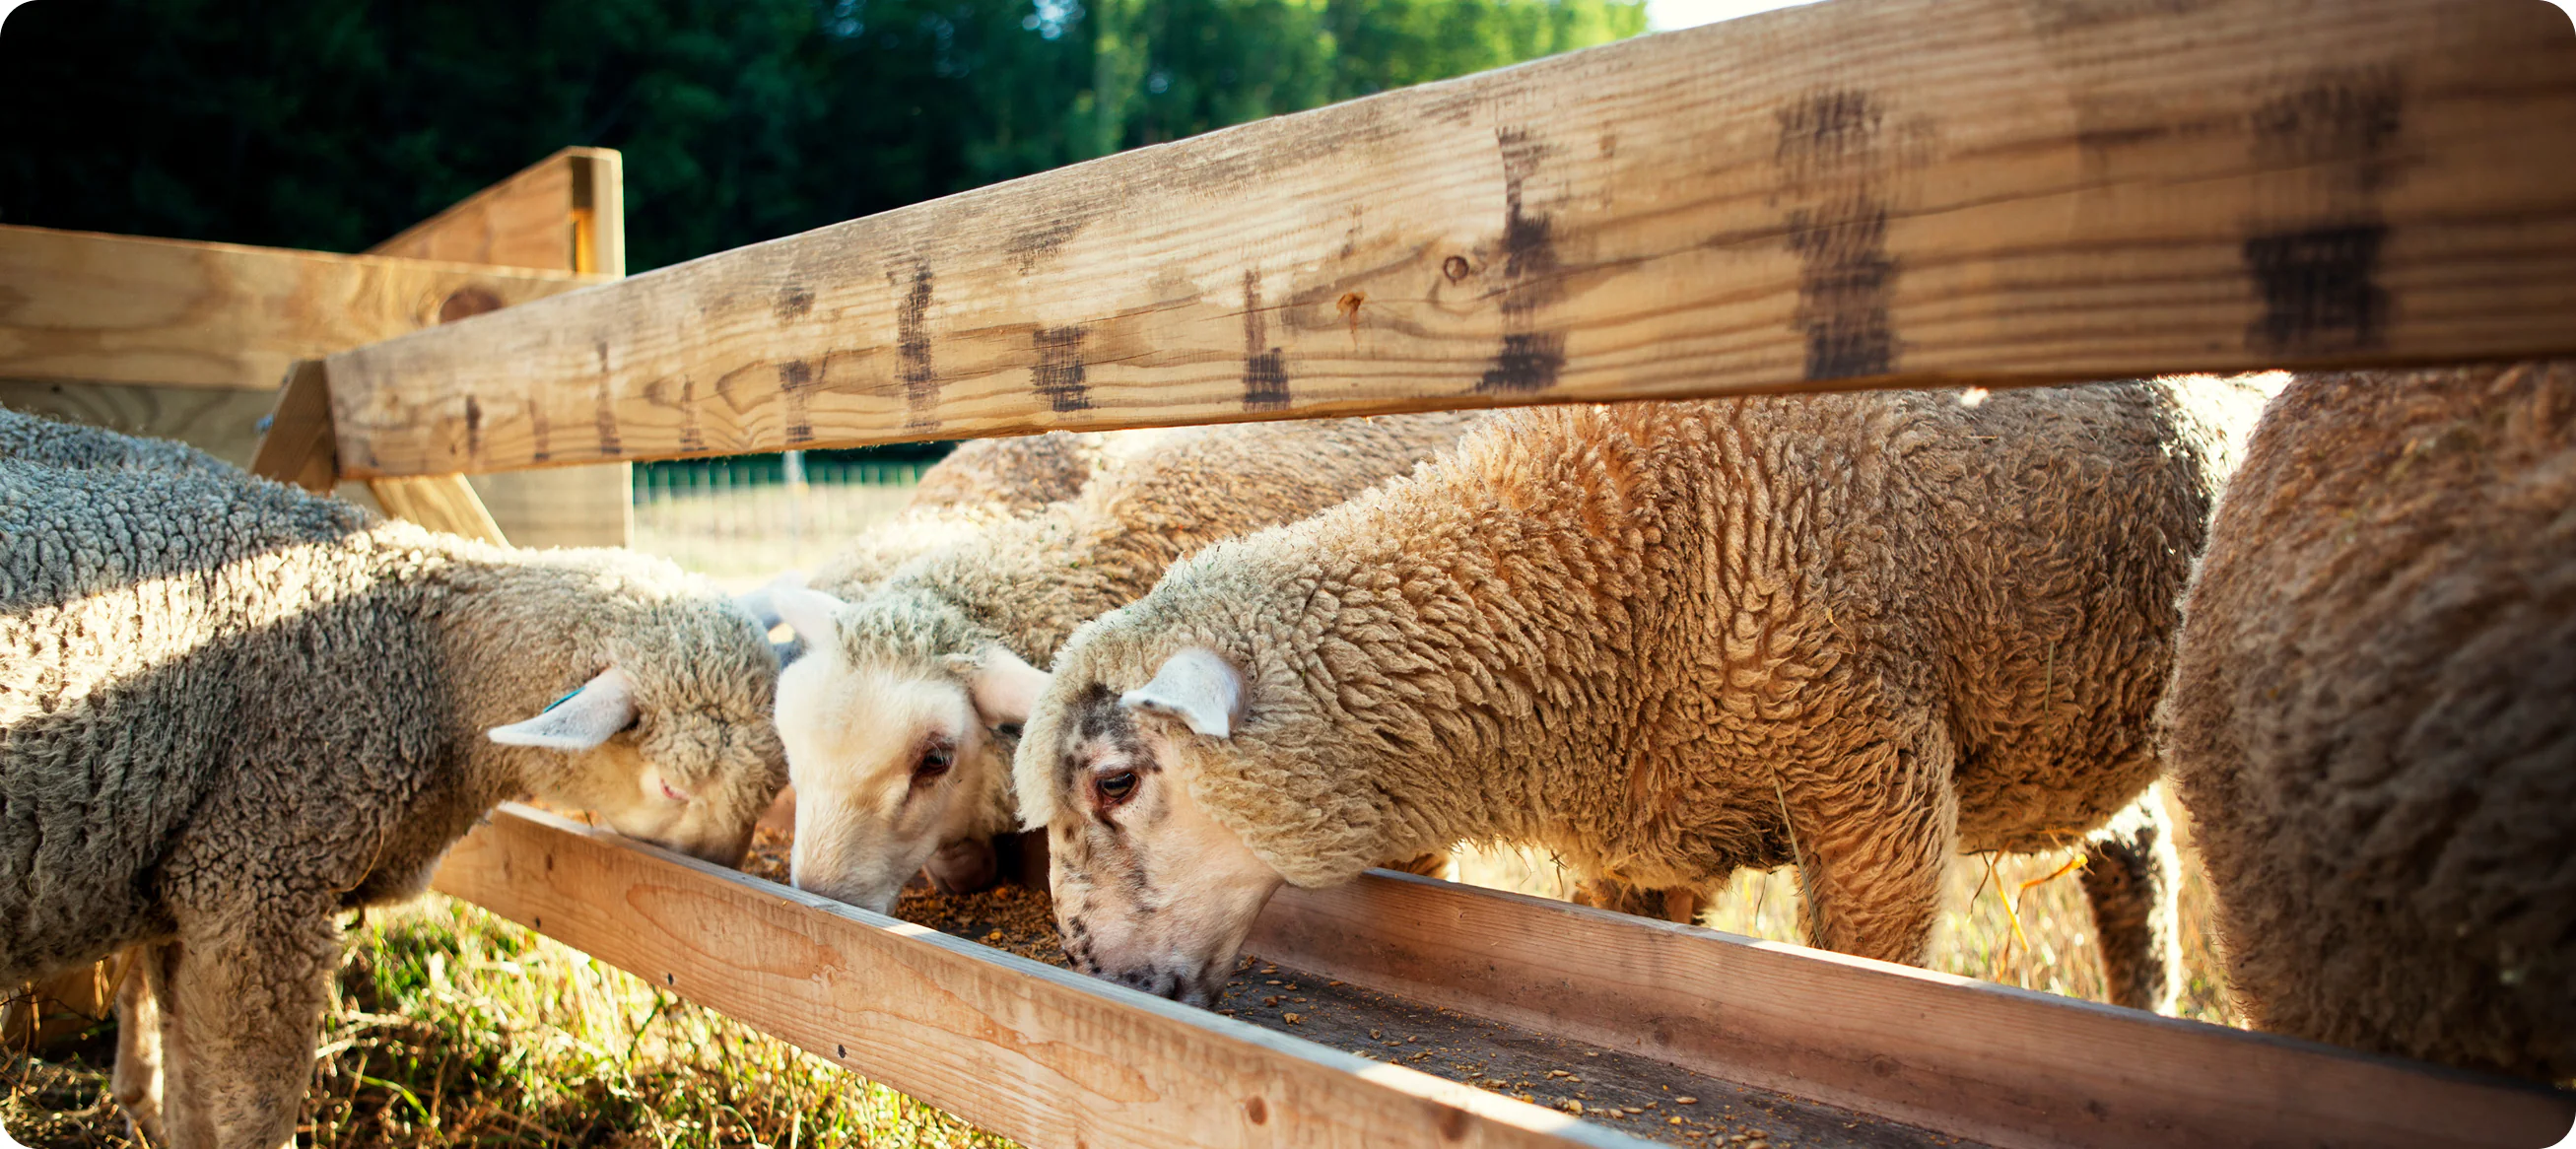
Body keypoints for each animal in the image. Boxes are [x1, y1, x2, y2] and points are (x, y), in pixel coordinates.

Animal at [0, 411, 786, 1149]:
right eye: (675, 788)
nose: (725, 878)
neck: (423, 653)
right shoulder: (255, 879)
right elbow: (252, 1103)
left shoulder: (181, 879)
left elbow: (189, 1084)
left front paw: (150, 1106)